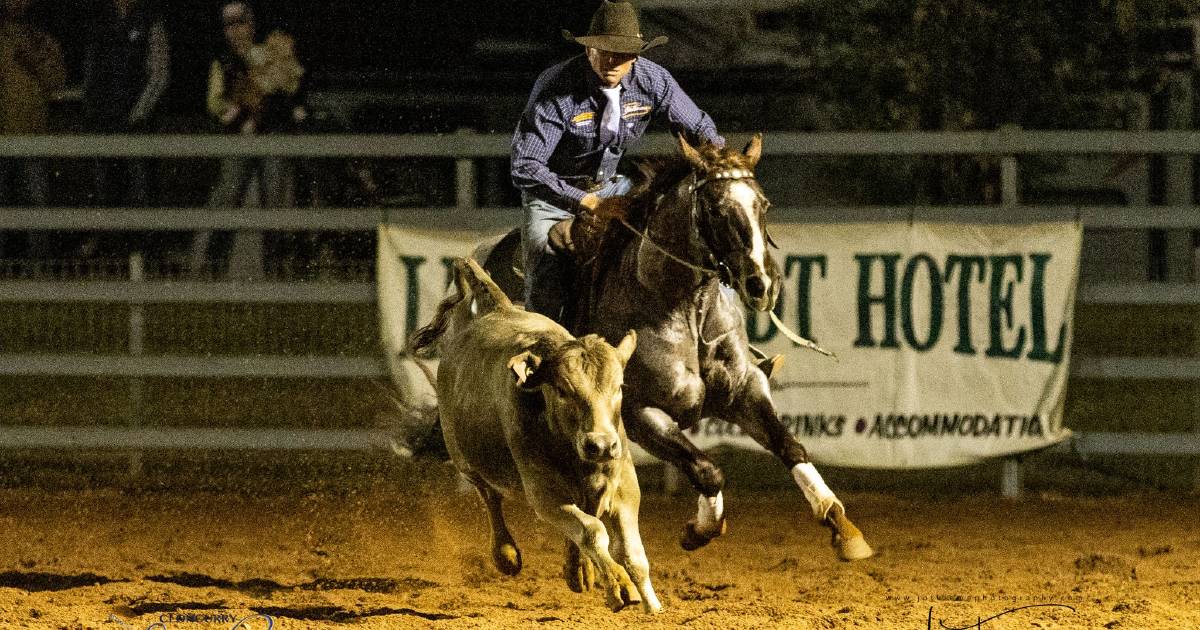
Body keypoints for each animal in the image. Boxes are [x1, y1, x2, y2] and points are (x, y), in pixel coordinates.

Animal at [410, 258, 657, 612]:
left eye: (619, 386)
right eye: (563, 390)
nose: (600, 445)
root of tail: (497, 306)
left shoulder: (624, 488)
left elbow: (633, 555)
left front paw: (652, 605)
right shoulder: (546, 496)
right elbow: (593, 531)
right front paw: (619, 587)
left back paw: (579, 570)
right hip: (466, 462)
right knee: (490, 498)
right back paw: (507, 554)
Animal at [480, 132, 873, 559]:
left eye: (763, 204)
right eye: (716, 210)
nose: (763, 284)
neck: (683, 309)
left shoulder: (745, 390)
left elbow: (790, 446)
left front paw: (841, 524)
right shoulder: (641, 414)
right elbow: (707, 469)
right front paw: (700, 529)